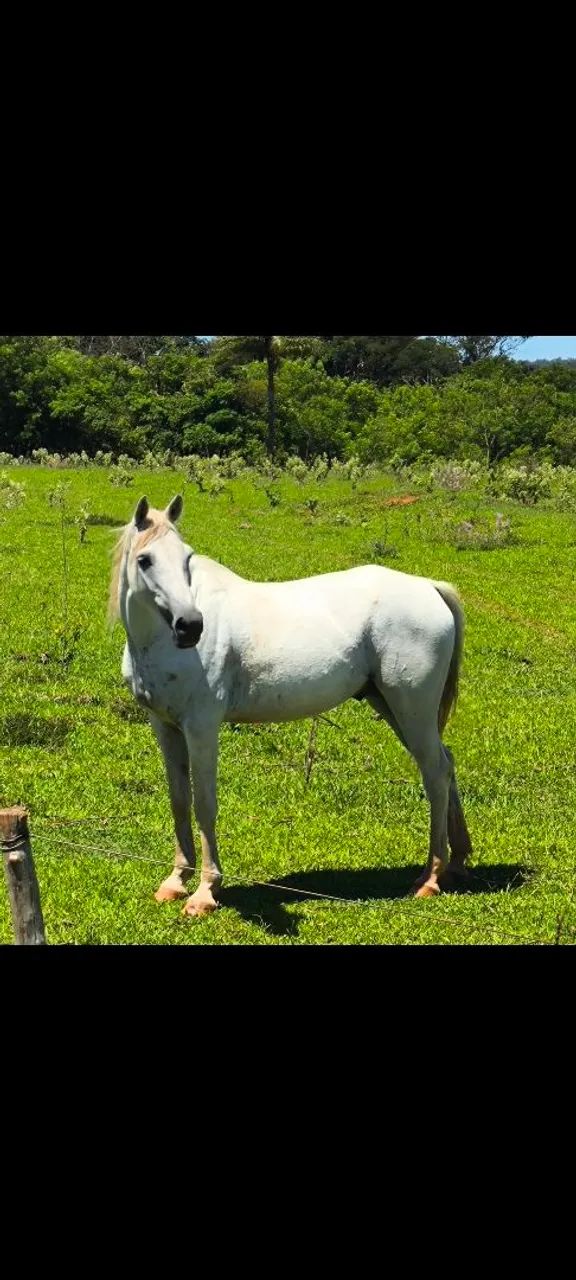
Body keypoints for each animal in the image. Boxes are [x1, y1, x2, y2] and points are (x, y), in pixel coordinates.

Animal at [109, 494, 472, 917]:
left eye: (187, 558)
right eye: (145, 559)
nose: (190, 626)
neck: (159, 645)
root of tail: (429, 588)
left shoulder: (201, 727)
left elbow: (204, 804)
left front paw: (205, 892)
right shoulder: (165, 726)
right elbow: (180, 802)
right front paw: (175, 881)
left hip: (411, 708)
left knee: (435, 773)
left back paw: (430, 878)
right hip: (394, 707)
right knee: (446, 764)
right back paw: (457, 862)